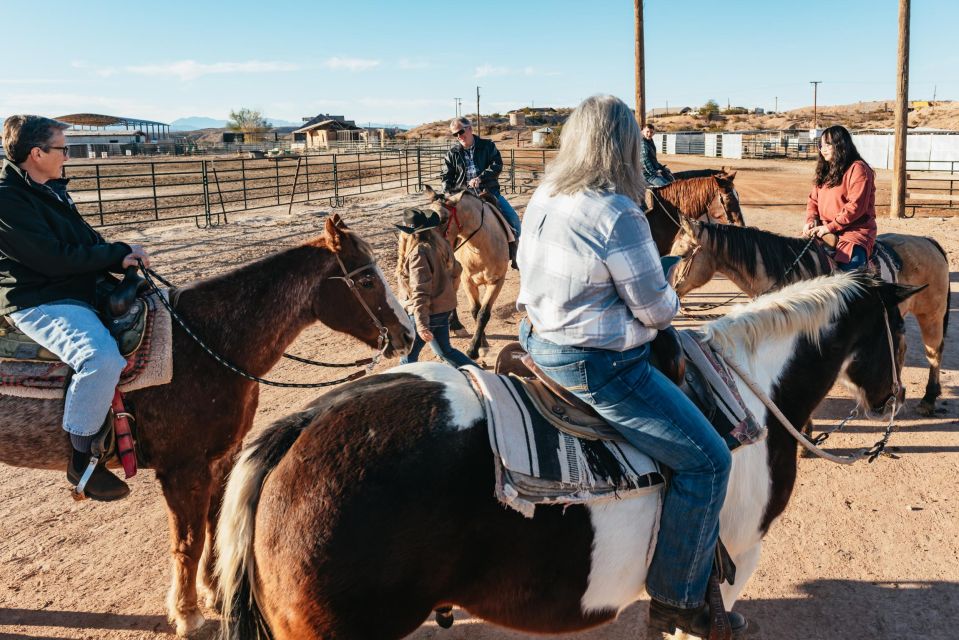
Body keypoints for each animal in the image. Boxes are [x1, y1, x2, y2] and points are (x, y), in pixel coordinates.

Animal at [0, 215, 412, 636]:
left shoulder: (222, 458)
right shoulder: (185, 470)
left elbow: (214, 526)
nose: (407, 334)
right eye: (367, 280)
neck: (207, 343)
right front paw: (187, 613)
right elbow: (190, 541)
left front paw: (213, 592)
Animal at [420, 185, 510, 360]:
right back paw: (456, 325)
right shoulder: (467, 280)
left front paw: (476, 348)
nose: (424, 244)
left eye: (443, 219)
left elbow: (483, 313)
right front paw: (480, 345)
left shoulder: (497, 281)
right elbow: (475, 311)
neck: (480, 248)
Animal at [668, 220, 952, 418]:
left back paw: (928, 400)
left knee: (934, 354)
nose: (670, 292)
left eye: (682, 255)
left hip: (931, 315)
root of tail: (929, 242)